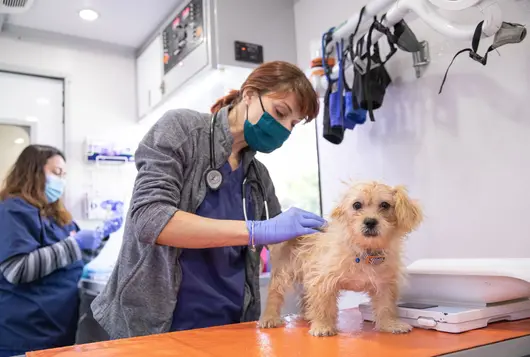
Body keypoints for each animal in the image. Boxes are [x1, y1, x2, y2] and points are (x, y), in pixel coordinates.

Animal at [256, 181, 420, 336]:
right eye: (357, 205)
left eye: (385, 205)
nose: (370, 222)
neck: (364, 252)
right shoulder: (322, 280)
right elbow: (322, 306)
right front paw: (322, 326)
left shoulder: (385, 284)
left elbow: (386, 306)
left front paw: (390, 324)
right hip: (282, 274)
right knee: (274, 295)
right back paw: (269, 318)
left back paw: (308, 315)